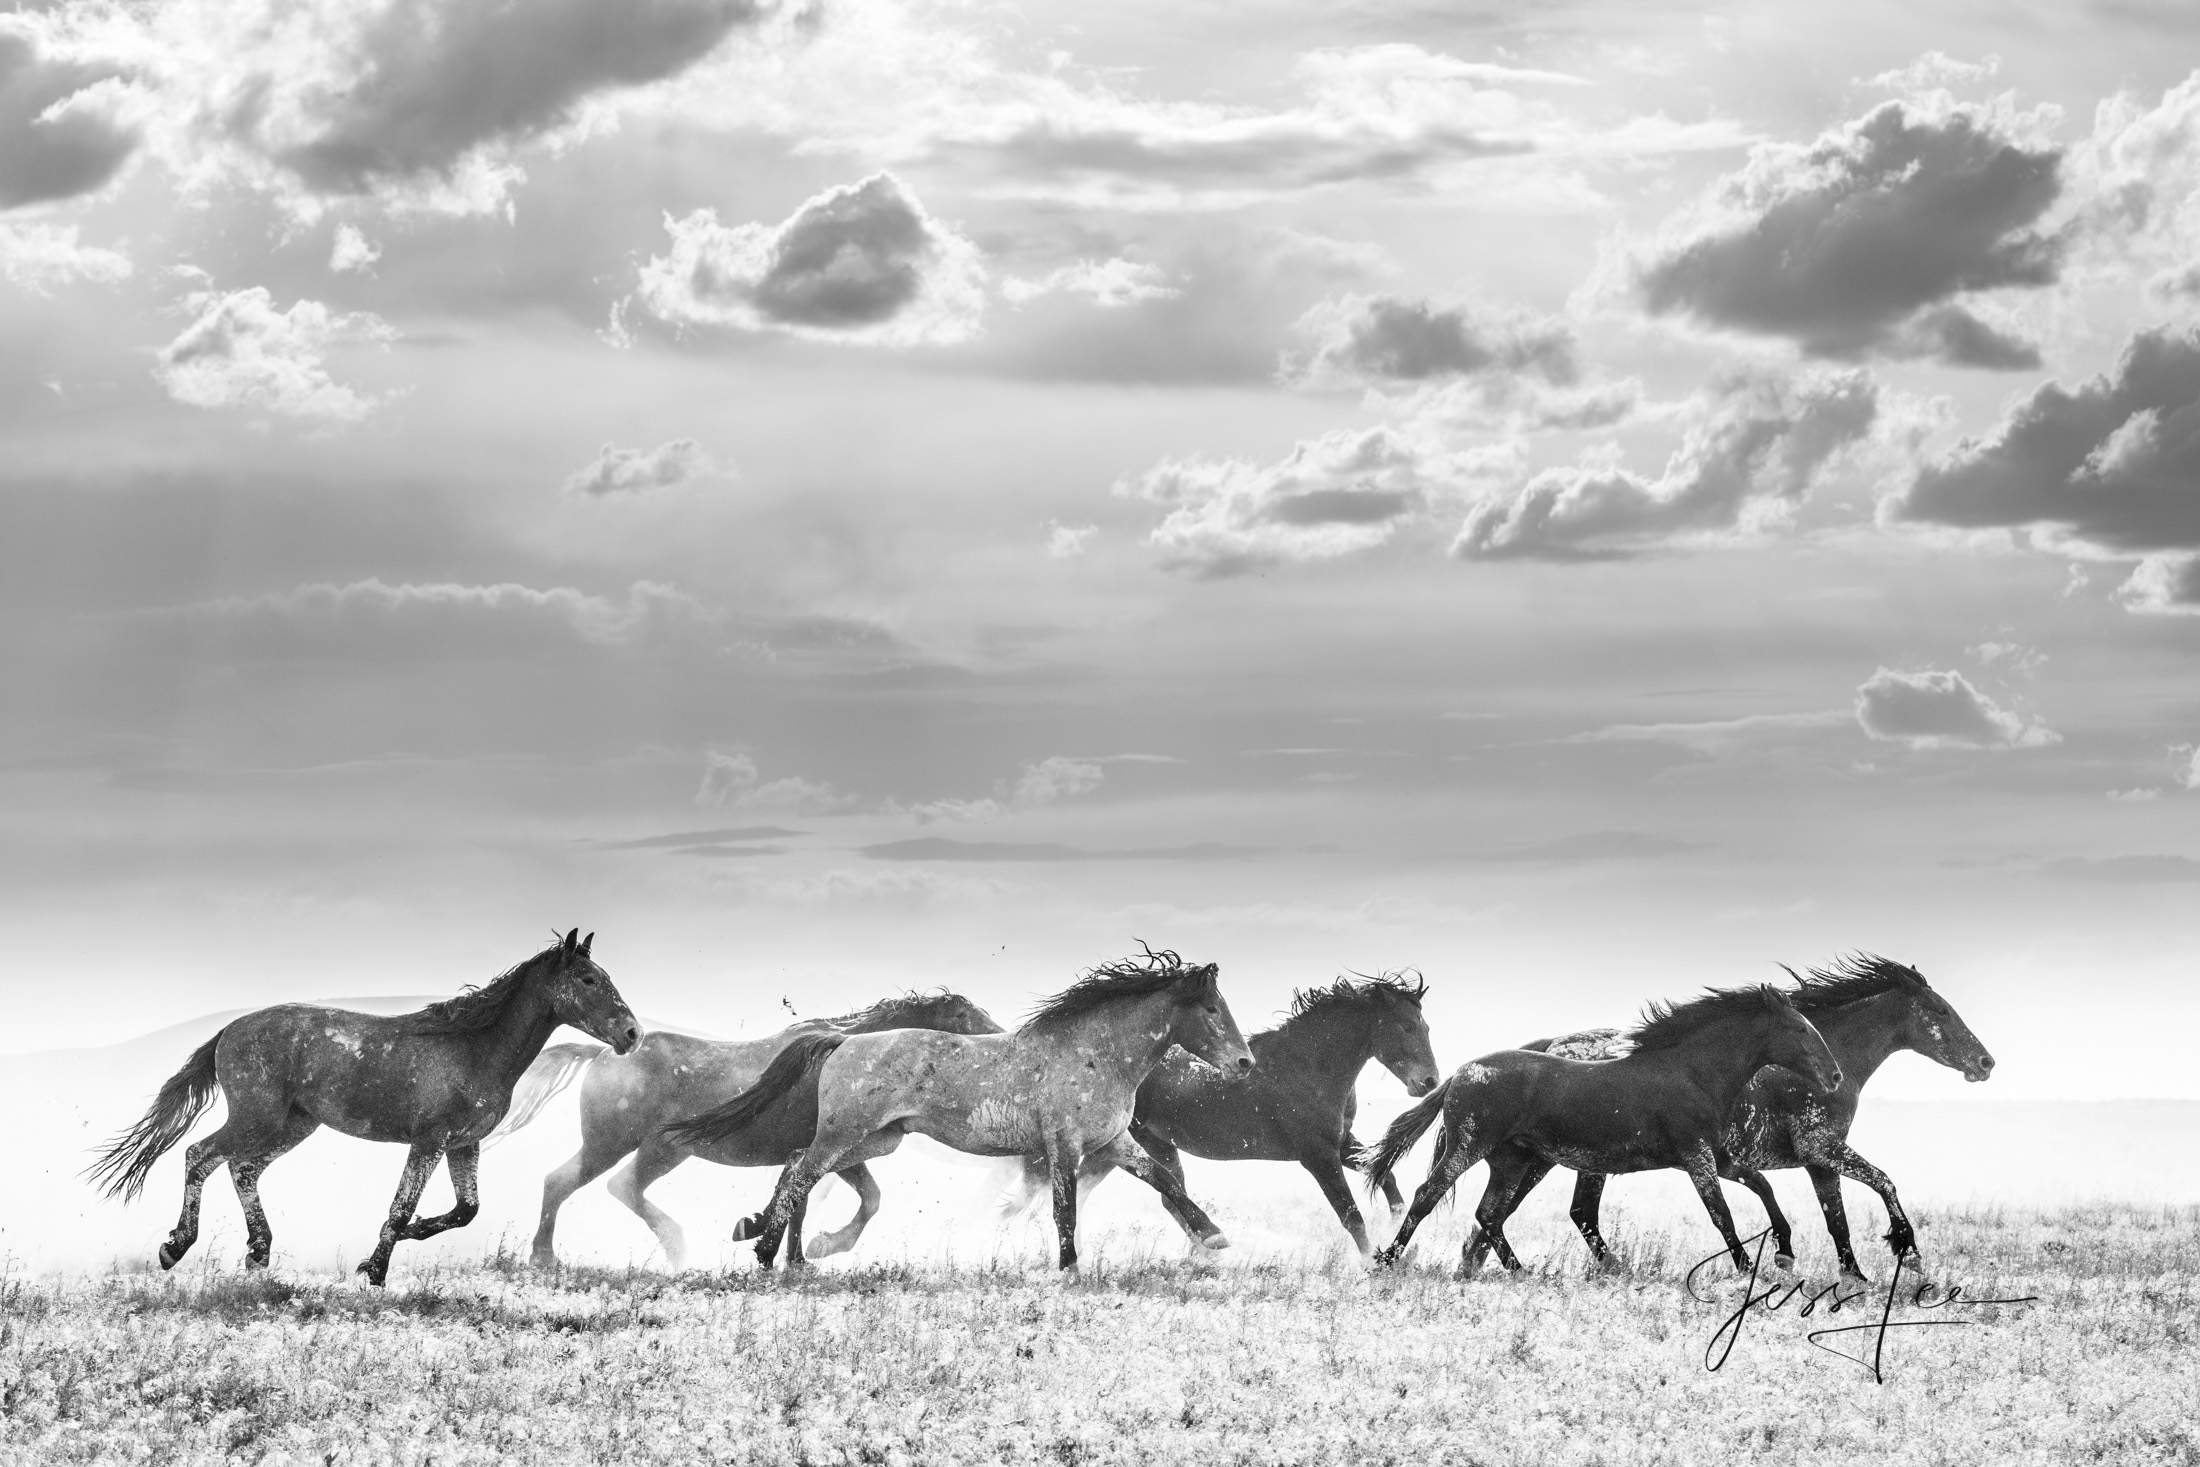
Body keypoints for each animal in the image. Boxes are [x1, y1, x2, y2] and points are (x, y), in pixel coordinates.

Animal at [88, 928, 638, 1284]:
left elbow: (466, 1210)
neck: (474, 1047)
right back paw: (174, 1247)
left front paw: (404, 1241)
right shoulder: (429, 1141)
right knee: (200, 1156)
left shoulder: (464, 1144)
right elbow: (402, 1206)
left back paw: (258, 1253)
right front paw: (373, 1270)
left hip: (292, 1126)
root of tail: (230, 1030)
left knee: (242, 1169)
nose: (632, 1034)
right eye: (589, 980)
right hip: (256, 1117)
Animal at [495, 994, 1003, 1266]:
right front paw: (809, 1247)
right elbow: (850, 1199)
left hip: (649, 1149)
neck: (843, 1057)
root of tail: (602, 1053)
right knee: (591, 1184)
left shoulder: (827, 1153)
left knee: (583, 1183)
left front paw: (794, 1257)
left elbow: (827, 1200)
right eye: (966, 1019)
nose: (1004, 1038)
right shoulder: (832, 1148)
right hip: (631, 1146)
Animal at [668, 954, 1258, 1275]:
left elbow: (1165, 1182)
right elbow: (1064, 1208)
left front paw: (1214, 1237)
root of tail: (843, 1041)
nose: (1245, 1063)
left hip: (878, 1139)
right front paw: (1068, 1267)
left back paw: (780, 1248)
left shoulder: (1114, 1142)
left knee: (797, 1168)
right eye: (1211, 1008)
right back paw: (770, 1250)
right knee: (801, 1174)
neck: (1094, 1055)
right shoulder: (1063, 1146)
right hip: (846, 1133)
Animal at [1372, 985, 1839, 1275]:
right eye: (1800, 1028)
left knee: (1489, 1213)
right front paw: (1746, 1267)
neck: (1692, 1073)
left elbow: (1761, 1185)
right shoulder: (1697, 1158)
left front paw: (1784, 1254)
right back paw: (1385, 1261)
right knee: (1428, 1195)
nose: (1834, 1077)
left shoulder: (1716, 1156)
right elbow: (1720, 1211)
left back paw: (1522, 1271)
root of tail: (1460, 1073)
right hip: (1469, 1147)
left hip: (1512, 1161)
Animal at [1522, 958, 2006, 1275]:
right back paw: (1616, 1267)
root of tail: (1552, 1046)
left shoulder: (1817, 1160)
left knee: (1580, 1212)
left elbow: (1836, 1219)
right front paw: (1909, 1253)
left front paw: (1851, 1276)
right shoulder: (1822, 1147)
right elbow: (1881, 1182)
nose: (1986, 1063)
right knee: (1582, 1212)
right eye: (1941, 1010)